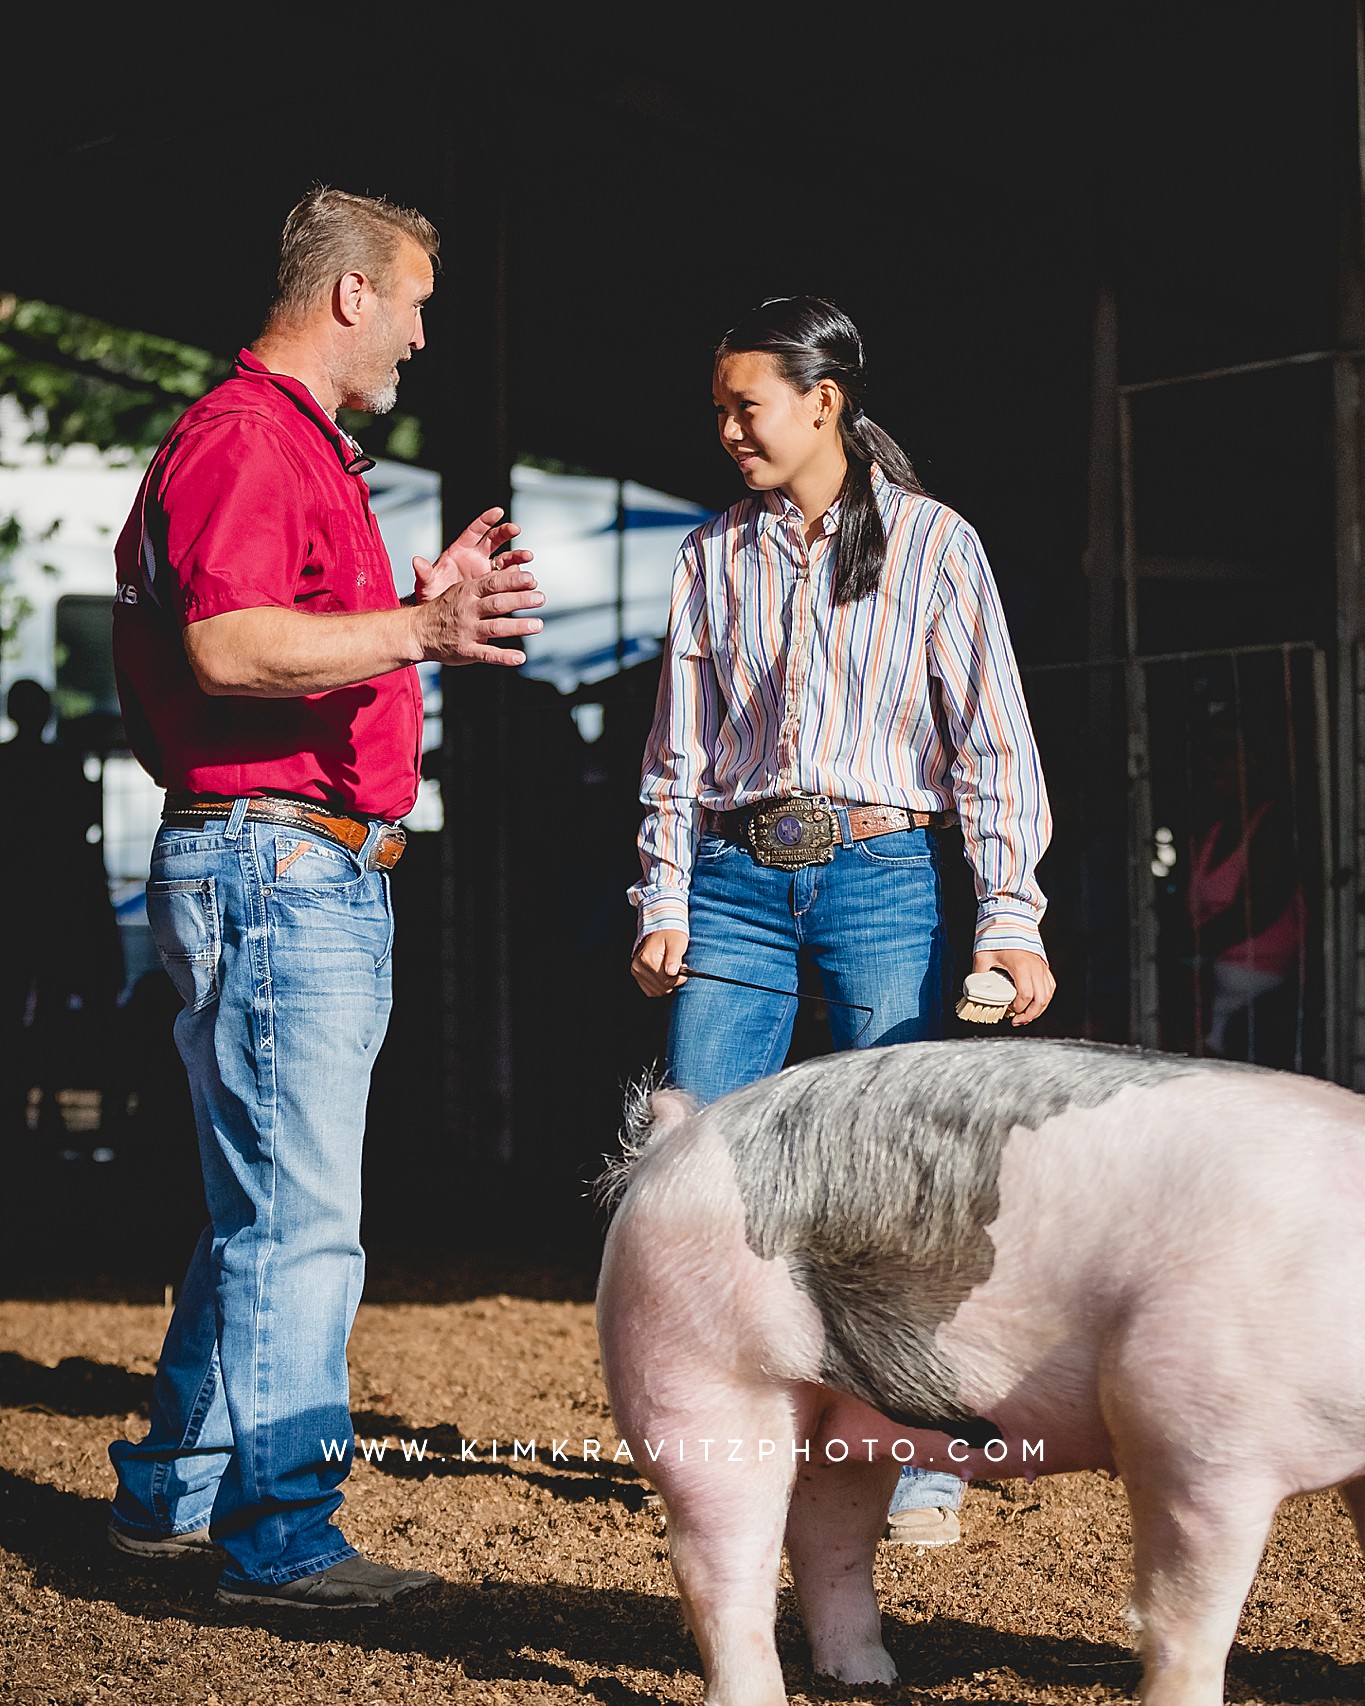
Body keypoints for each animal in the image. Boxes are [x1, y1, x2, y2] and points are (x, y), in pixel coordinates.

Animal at [600, 1030, 1365, 1706]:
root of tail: (675, 1139)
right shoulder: (1188, 1427)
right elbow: (1190, 1620)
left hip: (835, 1411)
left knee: (827, 1535)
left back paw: (870, 1679)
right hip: (698, 1375)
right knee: (721, 1563)